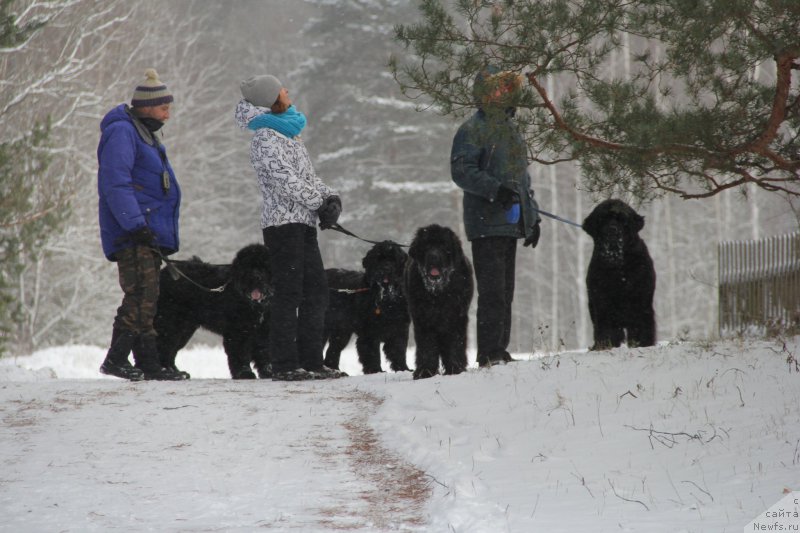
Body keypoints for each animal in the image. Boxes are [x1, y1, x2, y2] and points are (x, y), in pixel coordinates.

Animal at [152, 245, 274, 378]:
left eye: (264, 267)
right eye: (248, 267)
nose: (255, 276)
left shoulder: (263, 329)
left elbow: (263, 351)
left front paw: (268, 372)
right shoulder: (238, 330)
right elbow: (240, 352)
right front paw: (244, 373)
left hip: (184, 329)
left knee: (170, 350)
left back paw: (177, 372)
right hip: (170, 323)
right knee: (162, 346)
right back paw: (167, 372)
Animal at [324, 239, 412, 372]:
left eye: (394, 259)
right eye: (378, 258)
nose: (386, 267)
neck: (386, 297)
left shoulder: (399, 328)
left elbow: (398, 350)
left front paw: (403, 369)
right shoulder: (369, 331)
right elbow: (372, 352)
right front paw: (375, 370)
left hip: (342, 330)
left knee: (334, 348)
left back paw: (334, 369)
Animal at [404, 223, 472, 378]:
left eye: (443, 245)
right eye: (427, 245)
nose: (433, 257)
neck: (438, 293)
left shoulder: (456, 316)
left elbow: (455, 342)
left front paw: (455, 368)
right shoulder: (423, 319)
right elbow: (427, 346)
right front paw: (425, 371)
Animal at [580, 198, 656, 350]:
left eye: (622, 219)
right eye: (603, 219)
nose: (612, 230)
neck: (618, 267)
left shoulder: (640, 299)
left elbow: (640, 324)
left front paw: (642, 343)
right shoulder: (602, 301)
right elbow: (606, 327)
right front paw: (606, 344)